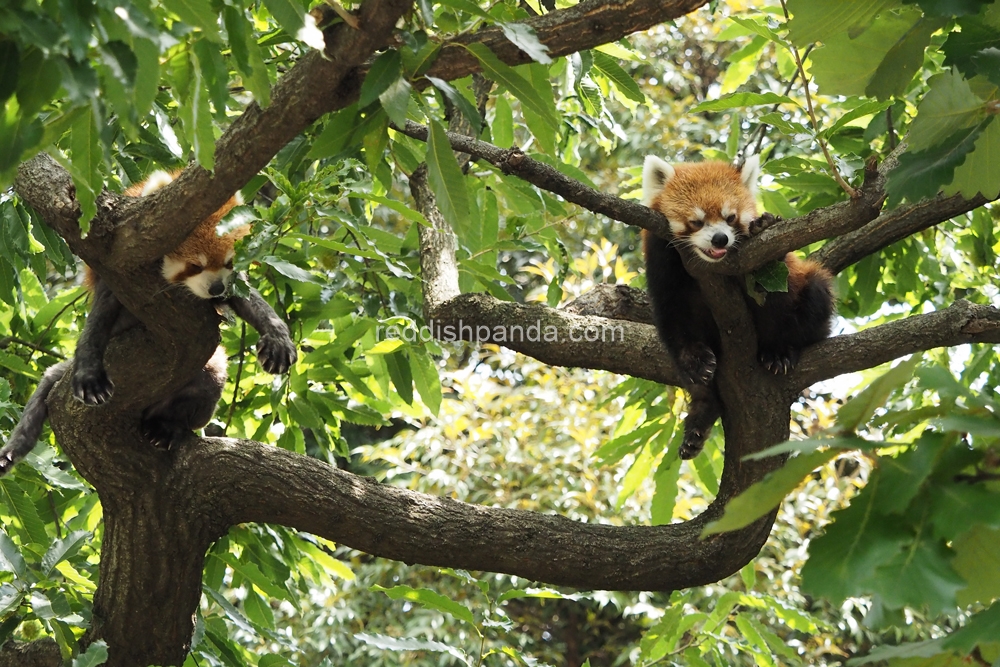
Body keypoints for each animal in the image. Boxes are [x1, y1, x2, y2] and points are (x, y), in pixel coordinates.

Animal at [0, 170, 296, 474]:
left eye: (228, 263)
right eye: (195, 266)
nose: (216, 289)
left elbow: (250, 300)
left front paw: (278, 339)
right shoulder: (116, 274)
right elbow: (99, 319)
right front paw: (89, 372)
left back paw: (167, 428)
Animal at [640, 156, 836, 460]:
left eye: (730, 217)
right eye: (696, 222)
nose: (720, 239)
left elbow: (775, 300)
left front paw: (778, 352)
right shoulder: (662, 265)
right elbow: (673, 318)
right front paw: (695, 361)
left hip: (813, 292)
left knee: (815, 297)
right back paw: (702, 413)